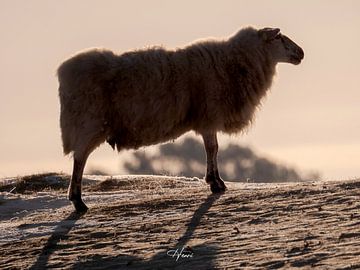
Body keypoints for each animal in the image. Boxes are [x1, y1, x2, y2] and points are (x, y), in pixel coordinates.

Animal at [57, 27, 304, 213]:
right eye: (279, 37)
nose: (301, 53)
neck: (234, 62)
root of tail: (64, 72)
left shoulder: (207, 121)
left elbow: (212, 149)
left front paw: (215, 181)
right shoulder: (208, 117)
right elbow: (213, 149)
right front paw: (216, 183)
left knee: (80, 158)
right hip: (88, 123)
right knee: (80, 159)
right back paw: (78, 201)